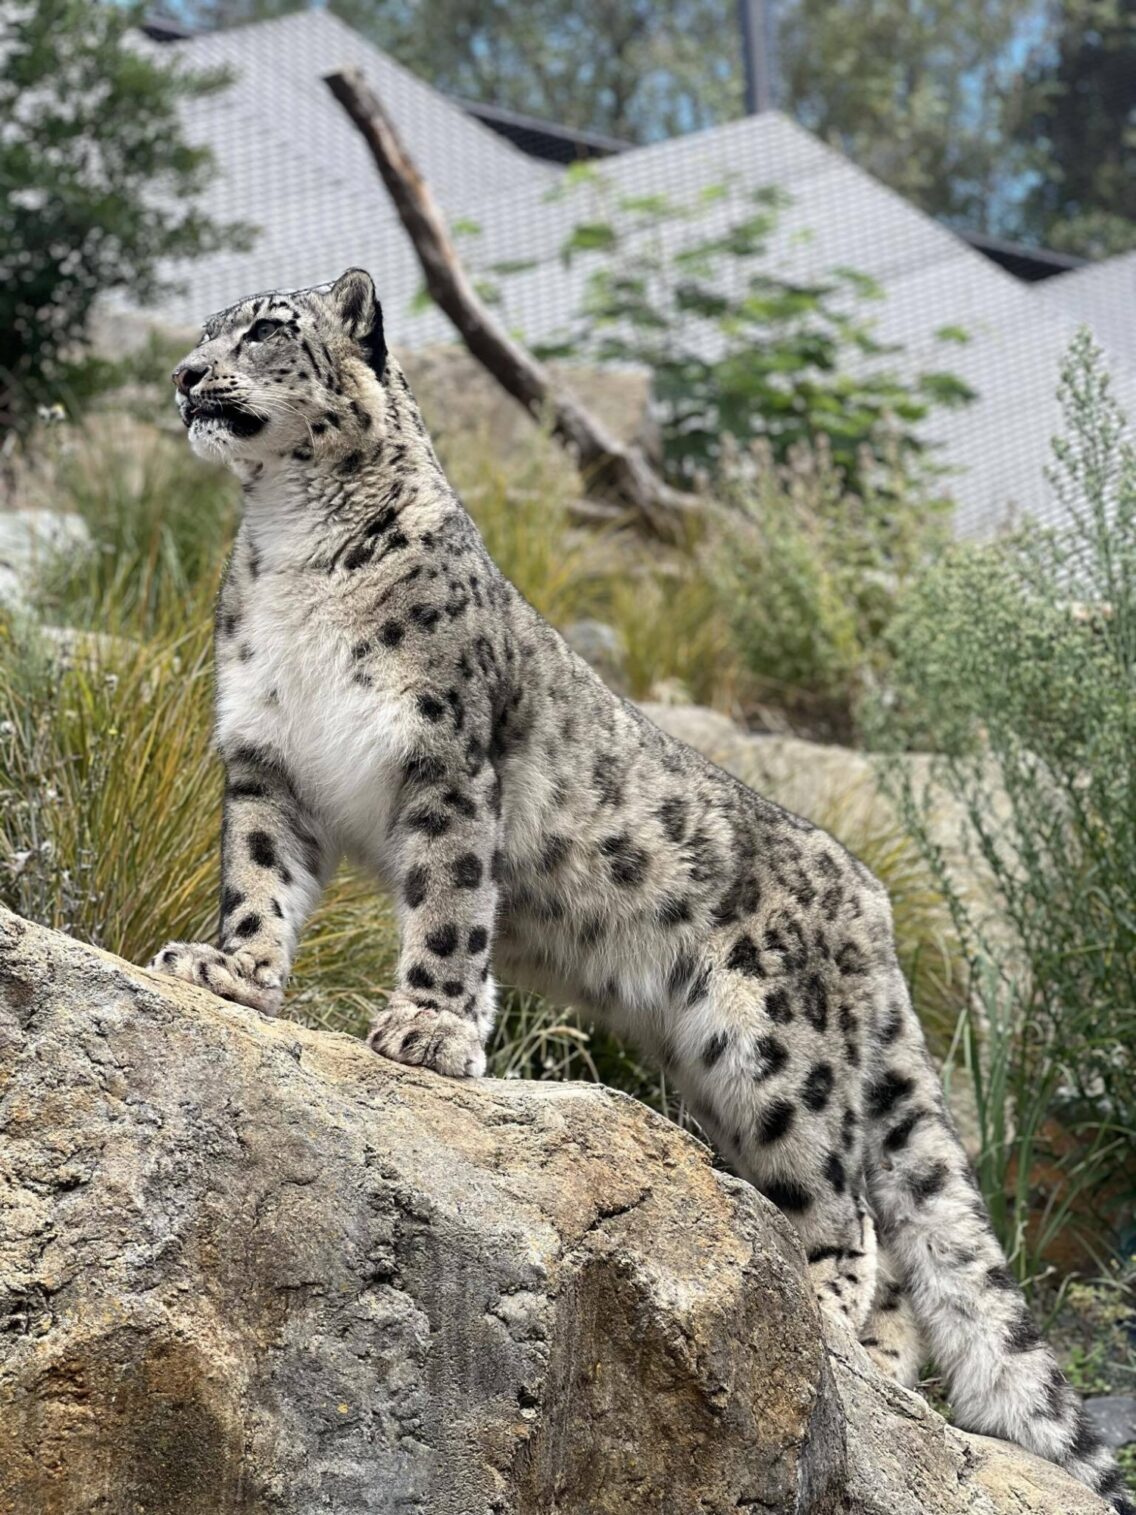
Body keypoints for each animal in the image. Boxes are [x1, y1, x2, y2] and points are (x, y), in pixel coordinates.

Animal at [148, 267, 1131, 1513]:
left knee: (850, 1209)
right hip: (716, 1071)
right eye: (203, 331)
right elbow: (259, 880)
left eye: (268, 331)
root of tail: (865, 894)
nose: (187, 375)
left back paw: (827, 1329)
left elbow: (449, 909)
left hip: (774, 1053)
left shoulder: (447, 763)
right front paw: (227, 968)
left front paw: (427, 1030)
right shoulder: (266, 759)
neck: (287, 539)